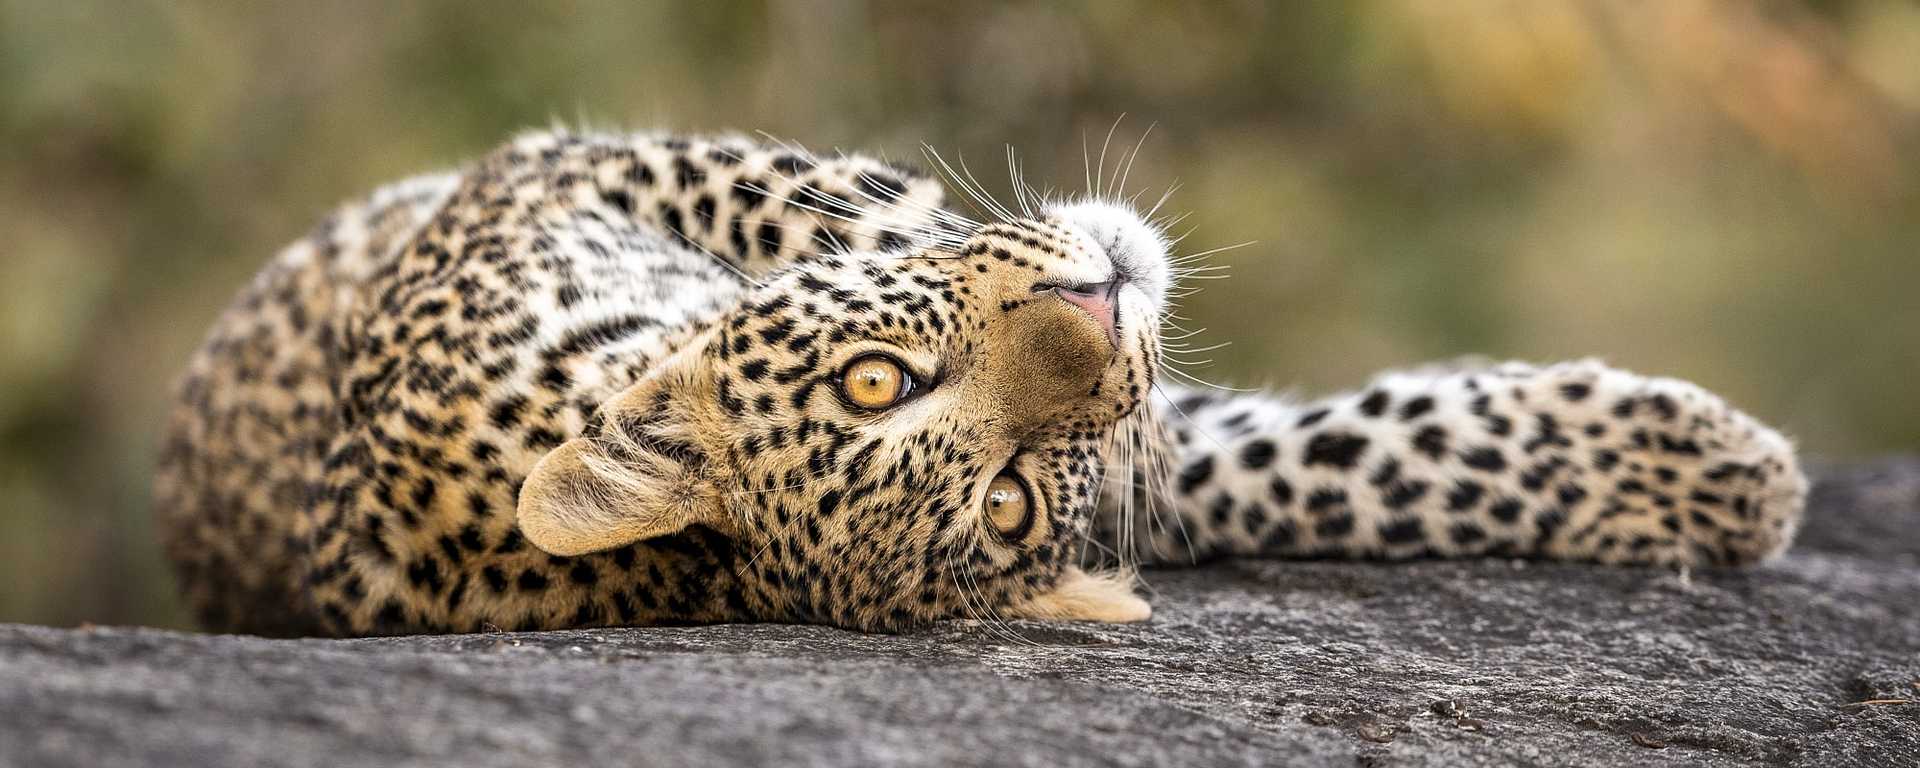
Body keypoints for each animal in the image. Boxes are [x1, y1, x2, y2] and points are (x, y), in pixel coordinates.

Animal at [153, 130, 1812, 637]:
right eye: (1005, 506)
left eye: (877, 379)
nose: (1097, 299)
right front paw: (1731, 475)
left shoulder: (564, 173)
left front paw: (1696, 470)